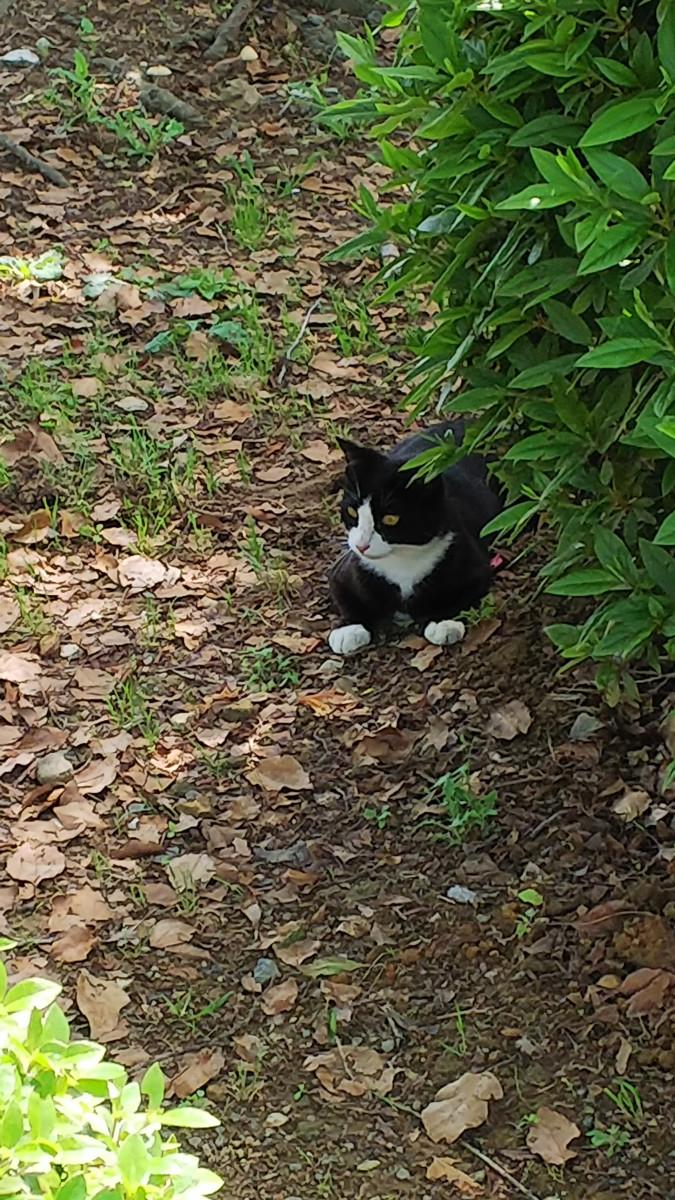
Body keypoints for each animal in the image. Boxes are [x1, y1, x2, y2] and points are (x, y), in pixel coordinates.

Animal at [328, 420, 502, 655]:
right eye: (352, 511)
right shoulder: (344, 571)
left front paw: (443, 623)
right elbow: (346, 597)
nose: (361, 545)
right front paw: (348, 629)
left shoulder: (477, 567)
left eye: (390, 518)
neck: (402, 560)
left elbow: (463, 596)